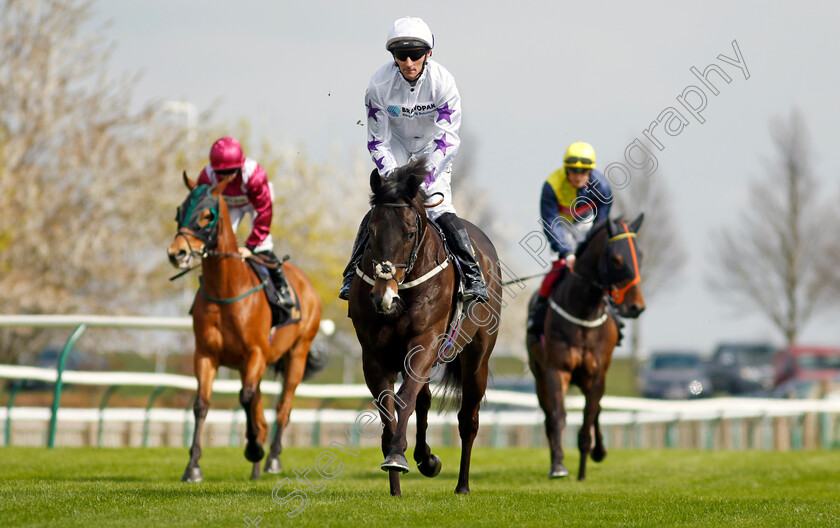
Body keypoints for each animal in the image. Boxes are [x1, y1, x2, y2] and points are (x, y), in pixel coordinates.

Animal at [167, 173, 322, 482]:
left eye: (206, 215)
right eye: (180, 211)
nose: (177, 253)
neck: (226, 290)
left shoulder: (256, 353)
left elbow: (246, 397)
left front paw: (253, 449)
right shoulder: (206, 355)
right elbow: (201, 404)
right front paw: (193, 466)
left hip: (297, 353)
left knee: (283, 407)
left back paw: (271, 458)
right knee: (261, 414)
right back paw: (257, 470)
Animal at [350, 159, 506, 498]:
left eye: (410, 233)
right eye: (371, 231)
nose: (382, 296)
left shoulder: (426, 340)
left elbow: (404, 399)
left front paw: (397, 457)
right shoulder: (374, 356)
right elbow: (389, 408)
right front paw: (396, 479)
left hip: (477, 359)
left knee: (468, 419)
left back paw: (462, 485)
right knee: (424, 400)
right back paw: (426, 458)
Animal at [528, 213, 648, 478]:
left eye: (641, 255)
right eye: (616, 259)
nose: (636, 307)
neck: (584, 311)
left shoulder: (597, 373)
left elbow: (589, 415)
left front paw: (584, 466)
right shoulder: (556, 370)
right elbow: (558, 416)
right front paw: (558, 464)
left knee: (597, 411)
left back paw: (598, 451)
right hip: (539, 375)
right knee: (549, 415)